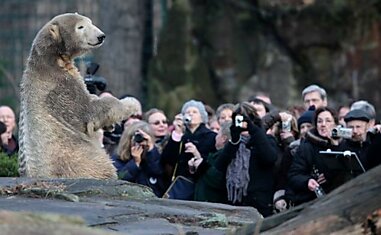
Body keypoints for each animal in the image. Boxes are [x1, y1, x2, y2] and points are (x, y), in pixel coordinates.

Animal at [17, 12, 140, 178]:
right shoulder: (60, 87)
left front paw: (111, 125)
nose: (101, 36)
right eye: (80, 27)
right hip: (79, 157)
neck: (49, 60)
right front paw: (131, 102)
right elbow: (89, 109)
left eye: (90, 22)